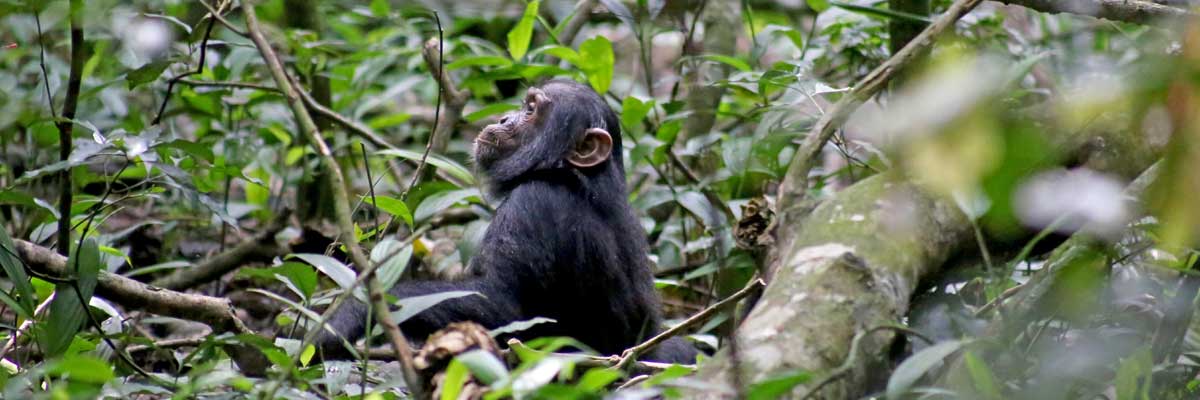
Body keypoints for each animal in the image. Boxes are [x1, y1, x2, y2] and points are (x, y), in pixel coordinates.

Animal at [319, 79, 700, 362]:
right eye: (523, 104)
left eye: (531, 110)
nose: (504, 119)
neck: (565, 173)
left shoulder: (533, 205)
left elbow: (503, 304)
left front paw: (352, 313)